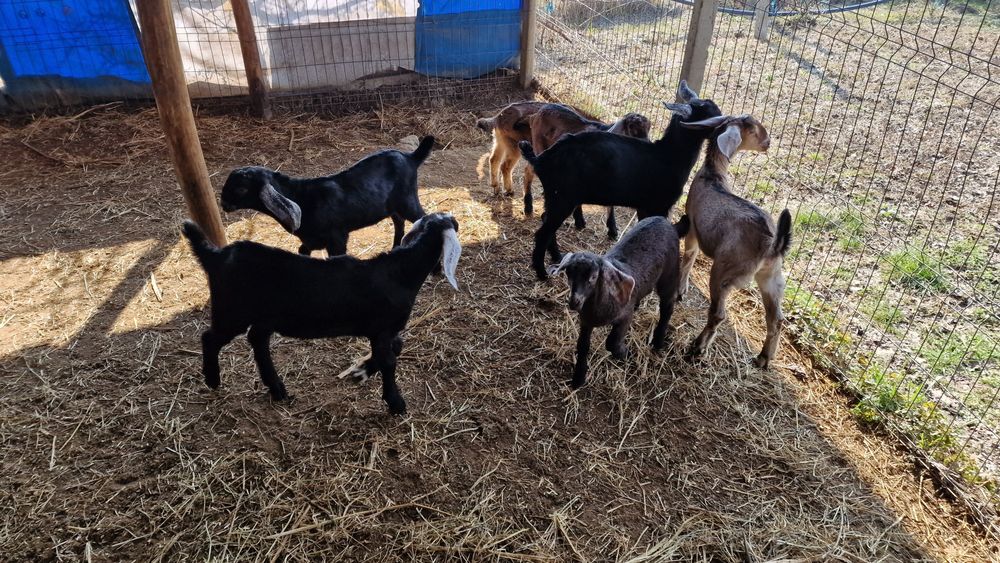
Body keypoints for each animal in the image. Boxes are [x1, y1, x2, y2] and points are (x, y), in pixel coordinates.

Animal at [180, 212, 462, 415]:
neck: (401, 272)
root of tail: (216, 256)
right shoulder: (382, 328)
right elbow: (390, 361)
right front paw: (396, 403)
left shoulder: (383, 331)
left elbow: (396, 348)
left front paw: (361, 371)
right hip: (232, 311)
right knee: (210, 338)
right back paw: (213, 379)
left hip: (265, 316)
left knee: (257, 339)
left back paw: (277, 388)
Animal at [220, 136, 434, 257]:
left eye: (241, 189)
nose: (223, 204)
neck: (301, 197)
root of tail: (410, 157)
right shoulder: (311, 241)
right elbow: (302, 252)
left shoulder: (337, 238)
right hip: (393, 205)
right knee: (399, 221)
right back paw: (396, 247)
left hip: (407, 200)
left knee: (423, 217)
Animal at [518, 80, 722, 280]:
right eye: (709, 116)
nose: (723, 129)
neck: (669, 155)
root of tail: (542, 159)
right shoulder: (657, 206)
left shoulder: (644, 207)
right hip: (562, 198)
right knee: (543, 232)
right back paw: (542, 273)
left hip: (555, 197)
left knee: (546, 222)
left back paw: (557, 257)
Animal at [548, 215, 688, 388]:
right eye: (568, 273)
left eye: (593, 277)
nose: (575, 302)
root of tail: (669, 223)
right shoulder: (586, 321)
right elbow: (583, 346)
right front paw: (578, 378)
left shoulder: (624, 317)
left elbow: (612, 342)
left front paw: (624, 353)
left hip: (669, 273)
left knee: (667, 306)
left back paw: (658, 341)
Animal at [675, 114, 791, 369]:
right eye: (754, 130)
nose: (768, 143)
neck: (713, 175)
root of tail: (773, 244)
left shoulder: (693, 228)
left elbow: (689, 257)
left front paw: (680, 290)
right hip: (772, 278)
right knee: (776, 319)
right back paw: (763, 358)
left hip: (725, 272)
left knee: (719, 314)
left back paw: (697, 348)